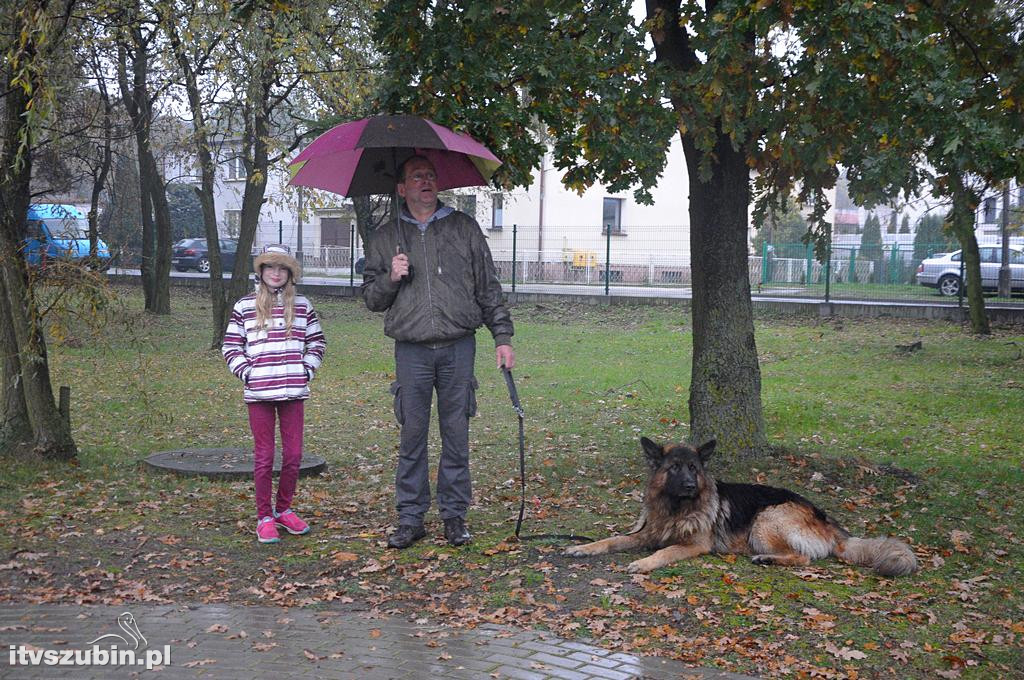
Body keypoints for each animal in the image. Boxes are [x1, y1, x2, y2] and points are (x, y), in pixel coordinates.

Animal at [569, 438, 921, 577]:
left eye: (694, 468)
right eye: (675, 468)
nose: (690, 485)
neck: (676, 508)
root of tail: (826, 519)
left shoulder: (693, 545)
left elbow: (664, 552)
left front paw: (643, 564)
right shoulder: (645, 534)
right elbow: (611, 539)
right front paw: (582, 548)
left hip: (765, 519)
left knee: (804, 557)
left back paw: (767, 558)